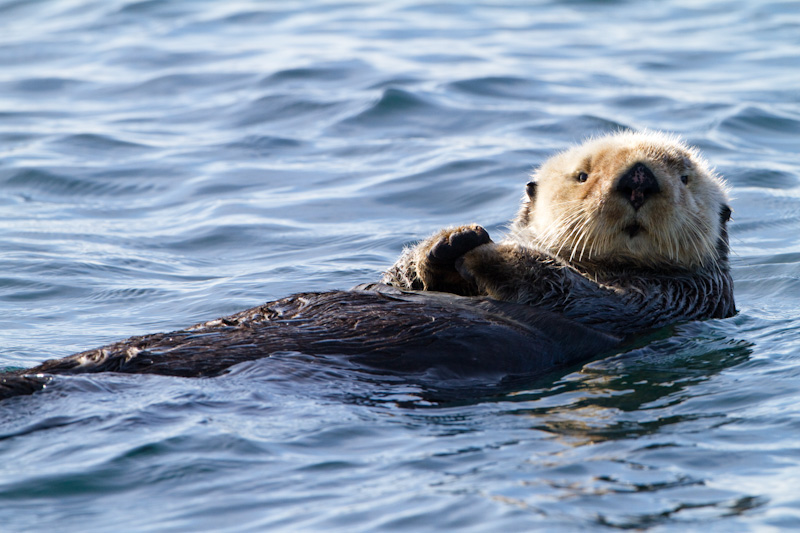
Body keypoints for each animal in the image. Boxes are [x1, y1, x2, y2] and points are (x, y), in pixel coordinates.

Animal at [0, 131, 736, 402]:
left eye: (681, 173)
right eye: (583, 174)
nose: (638, 179)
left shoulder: (662, 297)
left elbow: (561, 284)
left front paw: (485, 247)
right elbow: (401, 279)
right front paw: (450, 239)